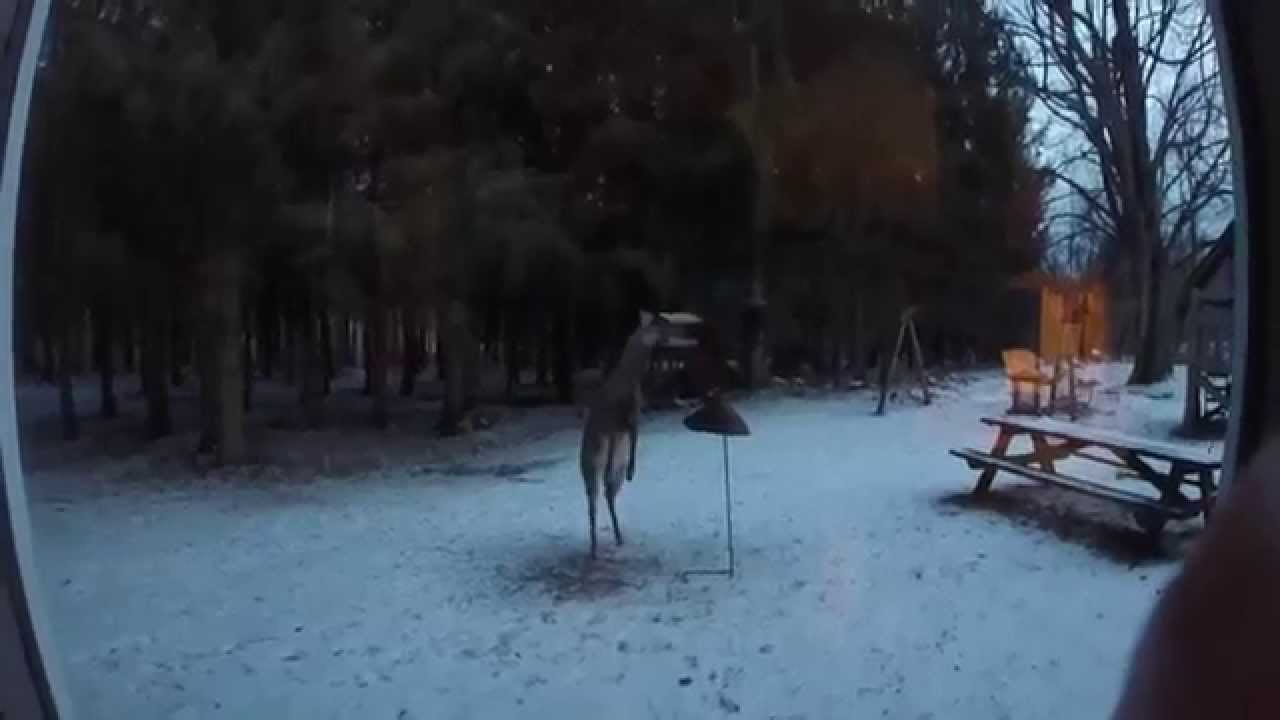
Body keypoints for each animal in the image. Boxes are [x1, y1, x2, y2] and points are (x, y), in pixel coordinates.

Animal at [579, 310, 671, 559]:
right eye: (658, 323)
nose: (669, 333)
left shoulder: (626, 424)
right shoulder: (629, 418)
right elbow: (635, 437)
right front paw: (632, 472)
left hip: (598, 471)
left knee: (605, 493)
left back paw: (614, 539)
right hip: (591, 466)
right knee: (598, 497)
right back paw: (596, 547)